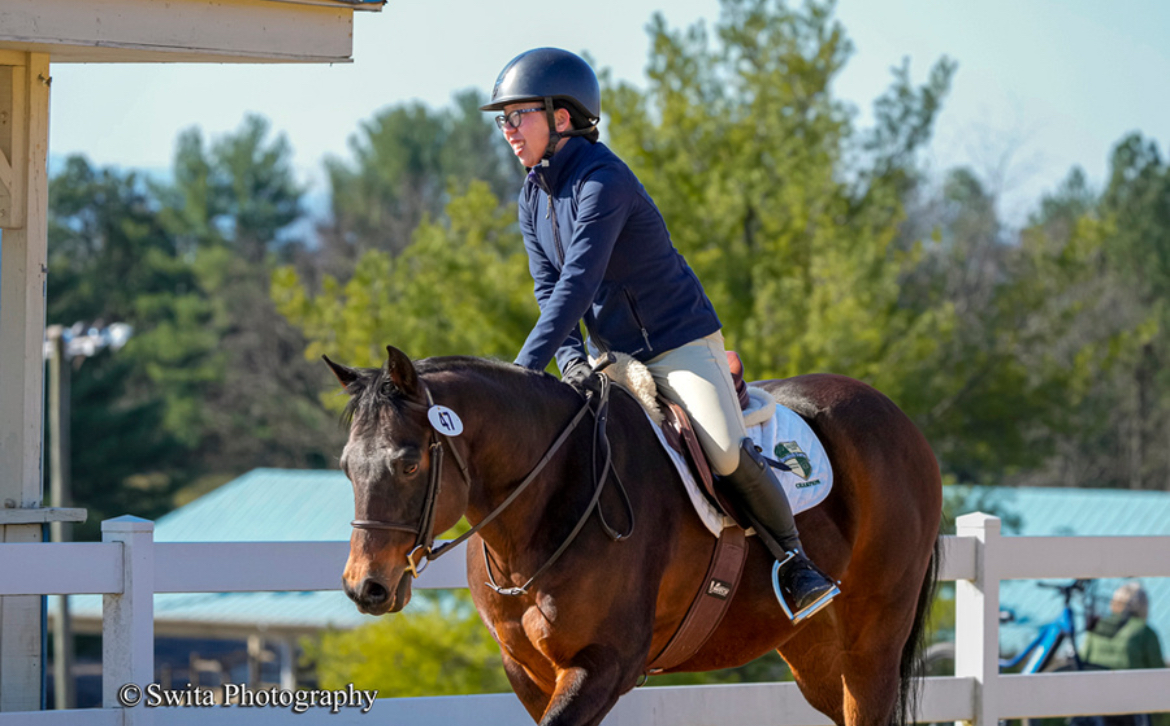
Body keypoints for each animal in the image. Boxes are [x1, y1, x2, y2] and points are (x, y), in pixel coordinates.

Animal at [327, 346, 940, 724]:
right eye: (346, 466)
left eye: (408, 464)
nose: (366, 588)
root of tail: (898, 420)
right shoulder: (528, 673)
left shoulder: (605, 665)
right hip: (815, 652)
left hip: (872, 639)